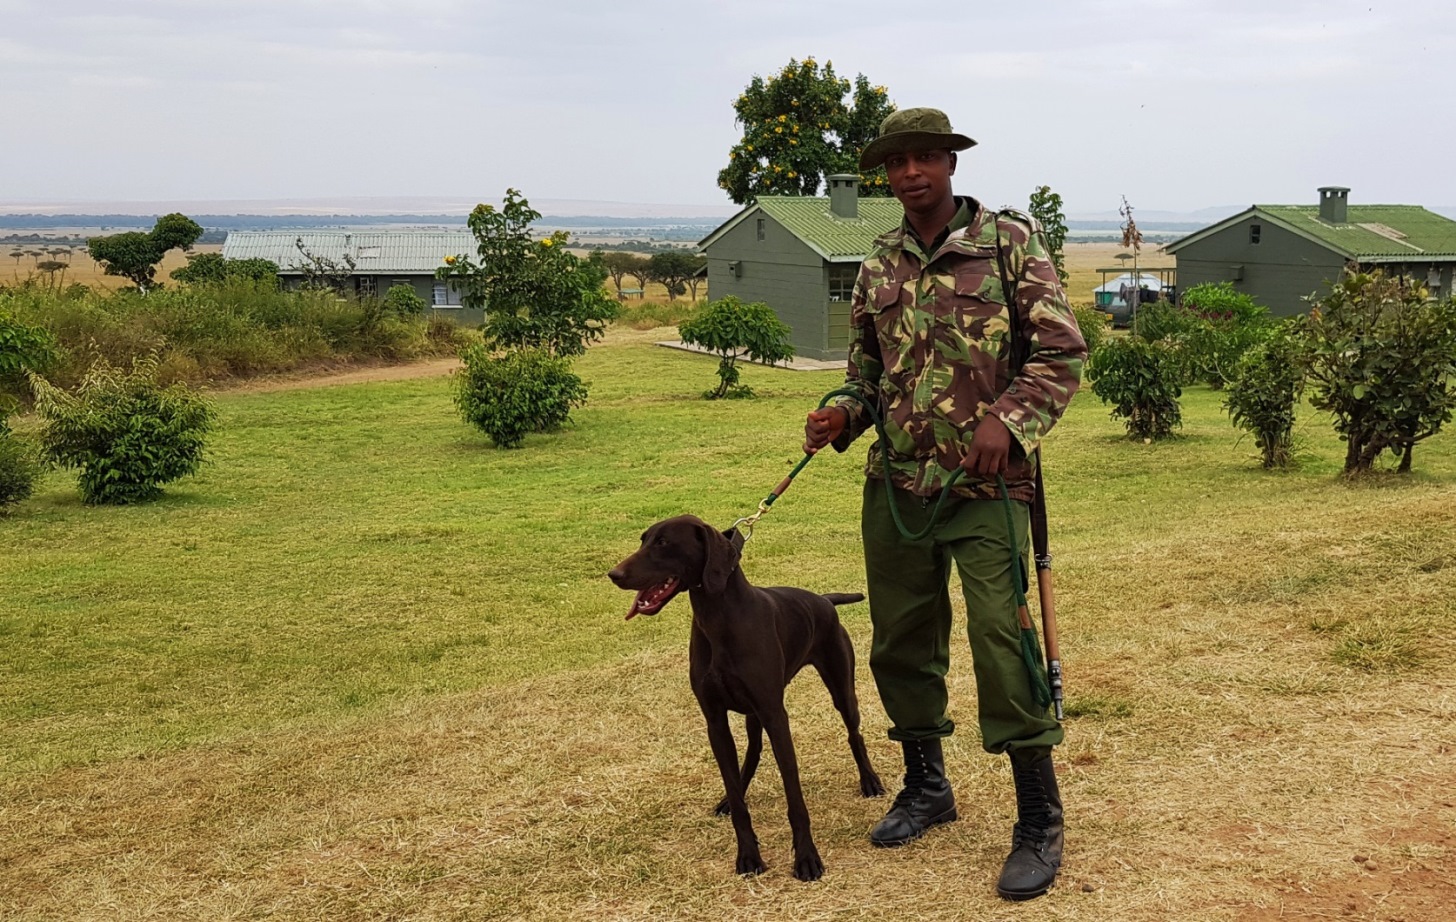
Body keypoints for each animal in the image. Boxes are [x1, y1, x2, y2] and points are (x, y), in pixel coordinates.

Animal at [605, 515, 879, 879]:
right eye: (643, 539)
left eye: (663, 543)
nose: (614, 574)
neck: (720, 619)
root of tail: (823, 601)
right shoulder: (715, 720)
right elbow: (736, 794)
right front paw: (748, 853)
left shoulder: (775, 716)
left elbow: (795, 797)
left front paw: (807, 857)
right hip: (753, 713)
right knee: (752, 753)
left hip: (840, 688)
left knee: (853, 733)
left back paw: (870, 780)